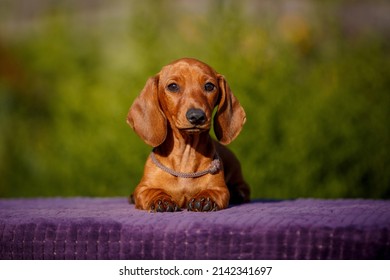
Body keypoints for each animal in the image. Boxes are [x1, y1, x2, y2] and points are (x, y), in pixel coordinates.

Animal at [128, 58, 250, 211]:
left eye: (209, 86)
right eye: (173, 86)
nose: (197, 116)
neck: (185, 156)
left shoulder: (220, 188)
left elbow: (215, 191)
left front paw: (206, 198)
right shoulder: (143, 188)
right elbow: (150, 191)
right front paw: (160, 199)